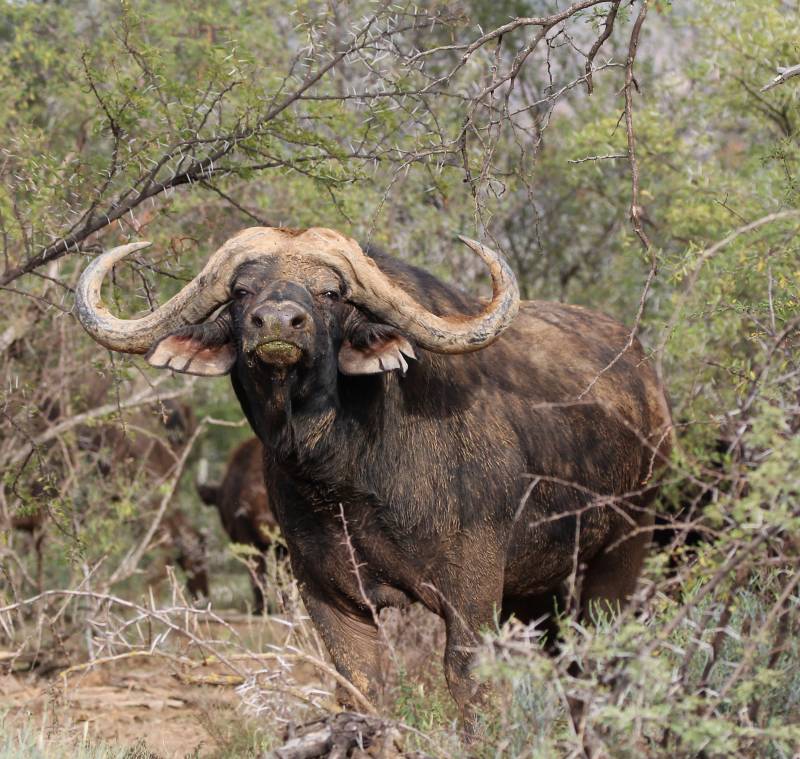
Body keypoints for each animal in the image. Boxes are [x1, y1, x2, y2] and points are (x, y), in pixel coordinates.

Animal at [75, 227, 672, 725]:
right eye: (243, 290)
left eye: (331, 293)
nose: (279, 324)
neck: (348, 474)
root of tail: (649, 385)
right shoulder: (328, 596)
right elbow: (361, 690)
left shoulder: (471, 597)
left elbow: (469, 690)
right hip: (539, 590)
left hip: (619, 558)